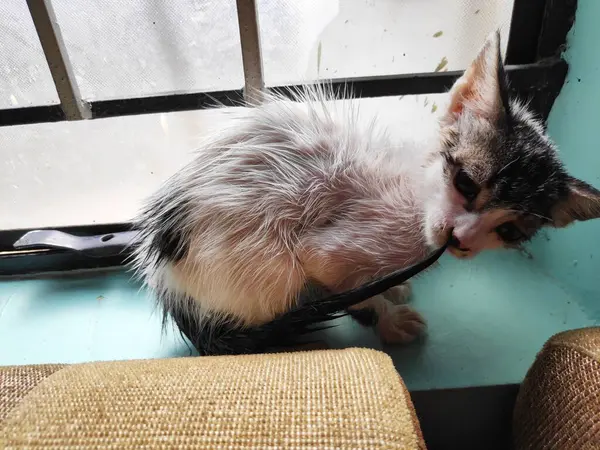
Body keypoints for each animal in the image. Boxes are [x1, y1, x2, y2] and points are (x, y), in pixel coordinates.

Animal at [134, 32, 600, 356]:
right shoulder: (321, 254)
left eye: (509, 232)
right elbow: (347, 284)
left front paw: (393, 289)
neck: (415, 200)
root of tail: (166, 281)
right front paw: (389, 320)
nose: (462, 239)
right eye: (466, 183)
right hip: (271, 266)